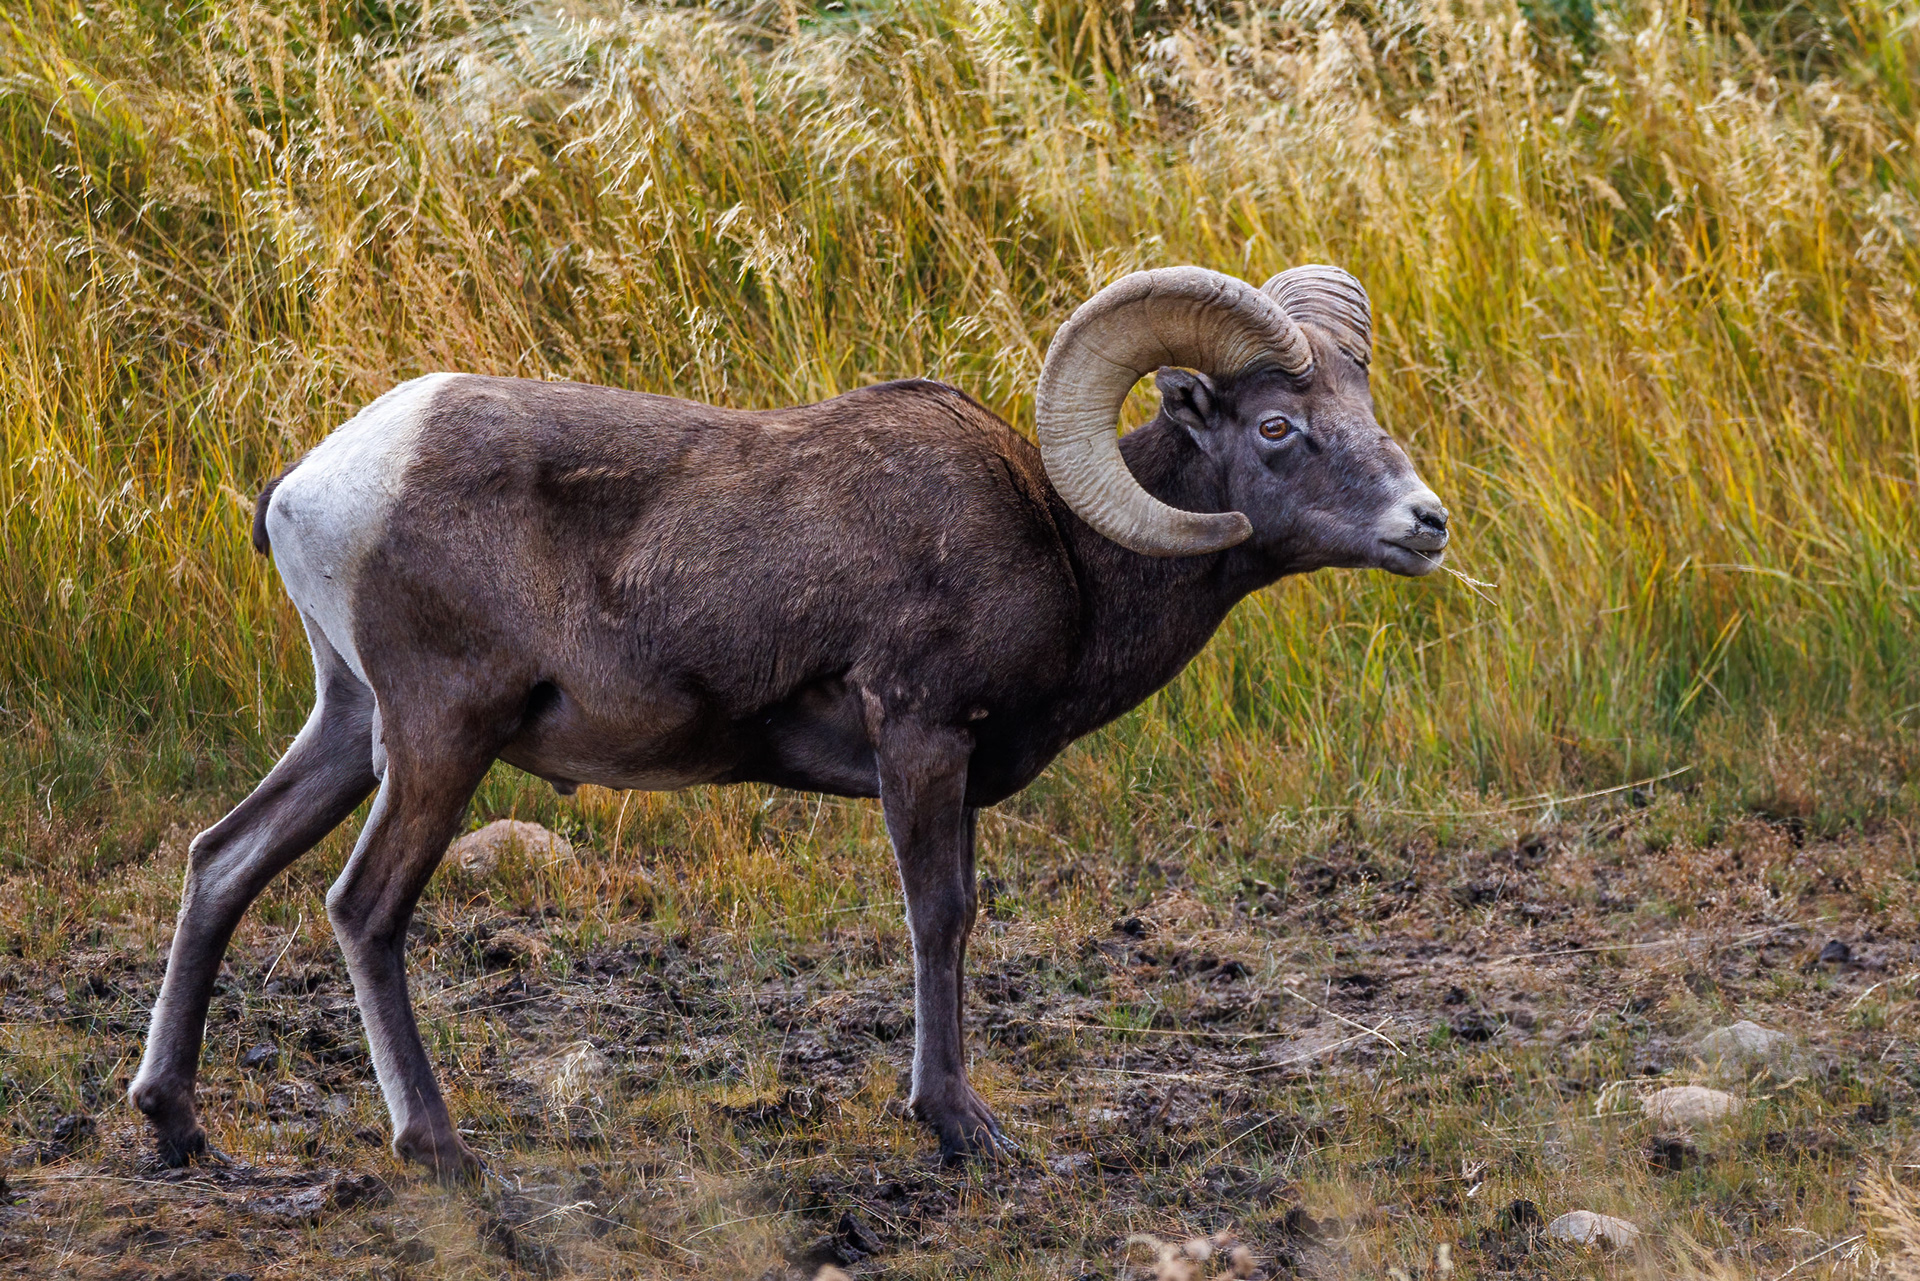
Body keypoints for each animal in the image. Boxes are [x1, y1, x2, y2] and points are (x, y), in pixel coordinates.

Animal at [129, 265, 1448, 1178]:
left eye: (1359, 401)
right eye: (1277, 427)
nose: (1425, 523)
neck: (1067, 553)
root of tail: (313, 486)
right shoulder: (921, 734)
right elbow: (940, 917)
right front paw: (959, 1128)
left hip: (349, 729)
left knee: (222, 861)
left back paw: (179, 1127)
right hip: (438, 739)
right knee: (363, 909)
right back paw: (441, 1154)